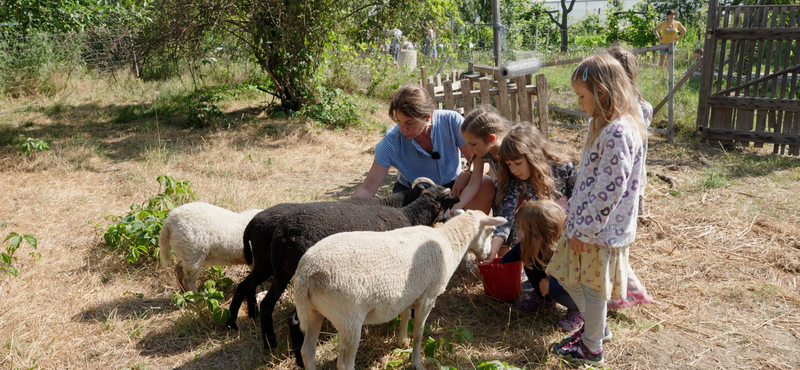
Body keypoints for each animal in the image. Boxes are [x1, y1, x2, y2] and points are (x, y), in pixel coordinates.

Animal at [294, 210, 506, 368]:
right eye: (491, 230)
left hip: (315, 312)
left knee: (307, 351)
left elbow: (405, 316)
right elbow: (419, 332)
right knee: (344, 364)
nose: (488, 255)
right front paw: (417, 362)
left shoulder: (408, 294)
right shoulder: (428, 296)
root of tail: (306, 271)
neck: (448, 242)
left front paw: (402, 343)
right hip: (348, 317)